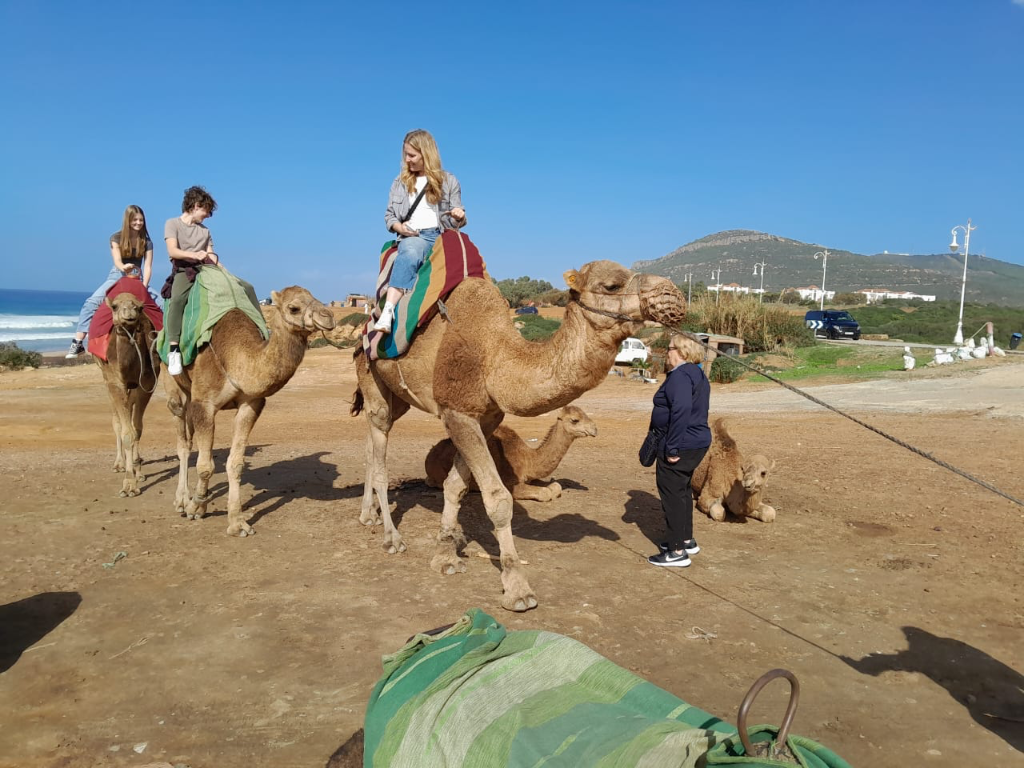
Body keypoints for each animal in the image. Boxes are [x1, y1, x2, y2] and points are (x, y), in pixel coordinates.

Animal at [96, 292, 160, 497]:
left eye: (139, 308)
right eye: (115, 307)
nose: (129, 312)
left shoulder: (147, 382)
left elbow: (136, 429)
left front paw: (136, 475)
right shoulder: (115, 382)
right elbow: (126, 432)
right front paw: (128, 484)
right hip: (105, 379)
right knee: (116, 421)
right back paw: (119, 464)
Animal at [163, 286, 335, 536]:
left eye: (315, 297)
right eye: (294, 308)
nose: (328, 316)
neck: (237, 357)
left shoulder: (250, 404)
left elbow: (235, 464)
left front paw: (237, 523)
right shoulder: (204, 403)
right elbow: (205, 466)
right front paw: (196, 506)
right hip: (175, 388)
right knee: (183, 440)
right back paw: (181, 500)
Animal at [424, 405, 598, 501]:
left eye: (585, 415)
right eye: (575, 420)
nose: (594, 429)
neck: (528, 458)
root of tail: (429, 455)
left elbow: (556, 486)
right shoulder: (510, 483)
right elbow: (545, 493)